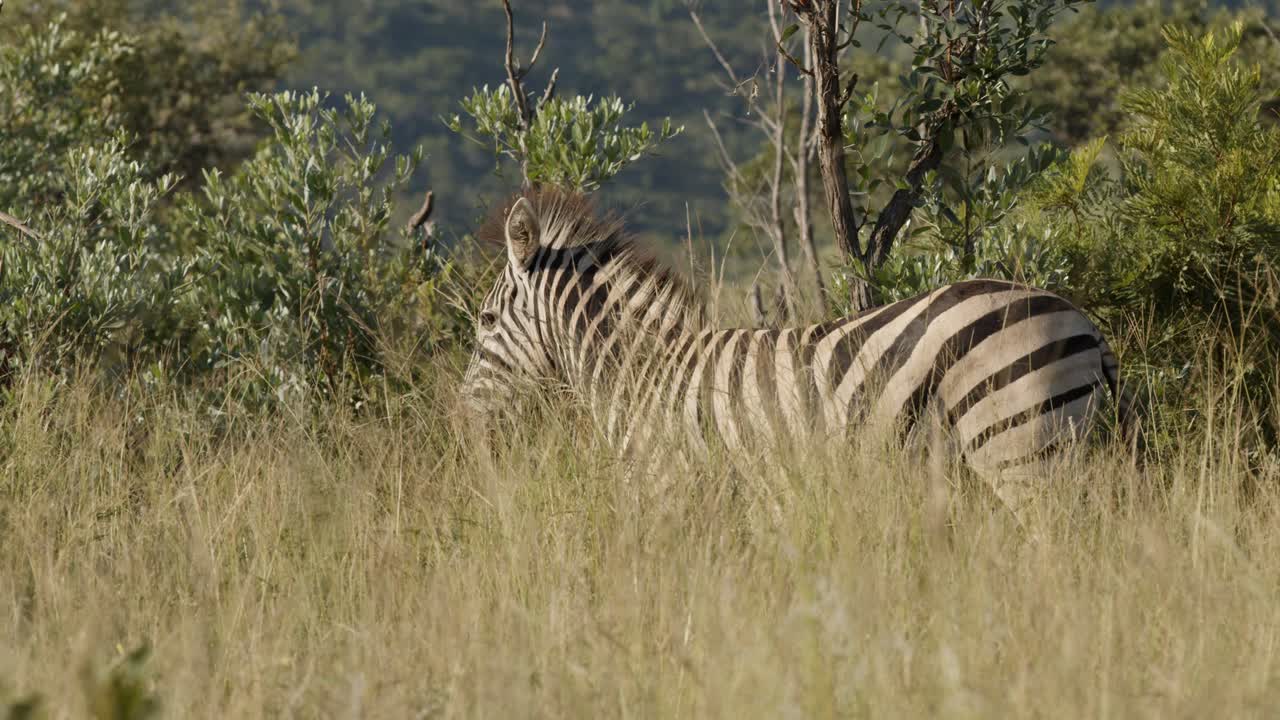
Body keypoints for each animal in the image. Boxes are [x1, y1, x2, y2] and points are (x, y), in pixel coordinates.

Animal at [460, 189, 1136, 517]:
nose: (460, 417)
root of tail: (1080, 317)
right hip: (1052, 445)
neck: (643, 373)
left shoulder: (672, 483)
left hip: (1018, 444)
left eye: (486, 321)